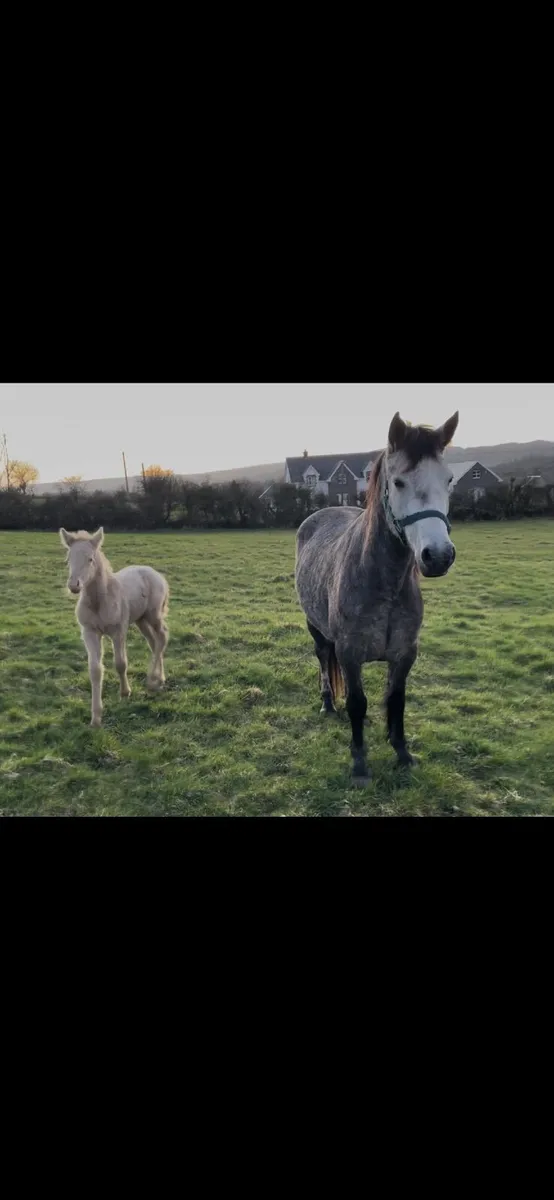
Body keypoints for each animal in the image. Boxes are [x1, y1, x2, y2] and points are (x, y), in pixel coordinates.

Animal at [59, 526, 169, 727]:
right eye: (68, 559)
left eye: (90, 559)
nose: (73, 585)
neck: (99, 602)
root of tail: (155, 573)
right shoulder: (90, 632)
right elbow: (95, 670)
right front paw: (96, 718)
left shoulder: (118, 630)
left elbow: (120, 663)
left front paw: (125, 693)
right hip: (141, 619)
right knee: (154, 642)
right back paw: (160, 677)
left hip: (153, 614)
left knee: (162, 636)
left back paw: (153, 681)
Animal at [295, 410, 459, 785]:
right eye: (398, 482)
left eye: (448, 480)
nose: (438, 556)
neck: (385, 585)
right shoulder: (350, 653)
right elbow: (357, 702)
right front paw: (359, 764)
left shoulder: (405, 653)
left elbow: (395, 700)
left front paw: (402, 753)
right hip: (316, 628)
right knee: (323, 659)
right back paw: (328, 703)